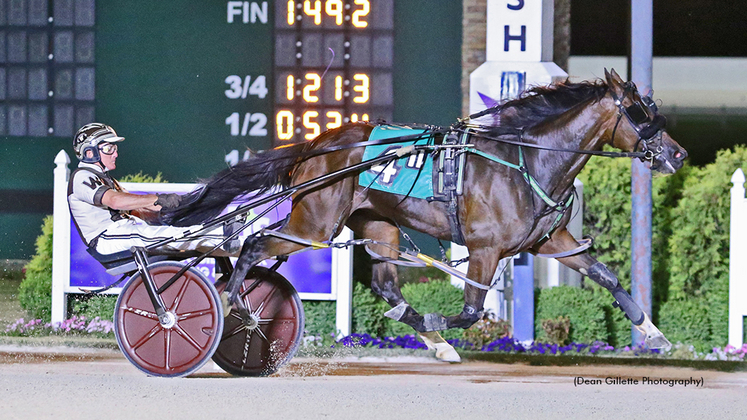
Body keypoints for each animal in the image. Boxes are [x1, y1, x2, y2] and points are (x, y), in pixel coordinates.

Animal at [165, 69, 688, 360]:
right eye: (639, 112)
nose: (678, 155)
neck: (528, 162)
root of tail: (317, 143)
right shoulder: (485, 248)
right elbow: (472, 311)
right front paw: (443, 324)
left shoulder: (549, 242)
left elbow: (607, 276)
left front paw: (655, 335)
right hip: (314, 223)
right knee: (253, 244)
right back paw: (234, 304)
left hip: (375, 223)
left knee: (386, 285)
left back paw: (432, 340)